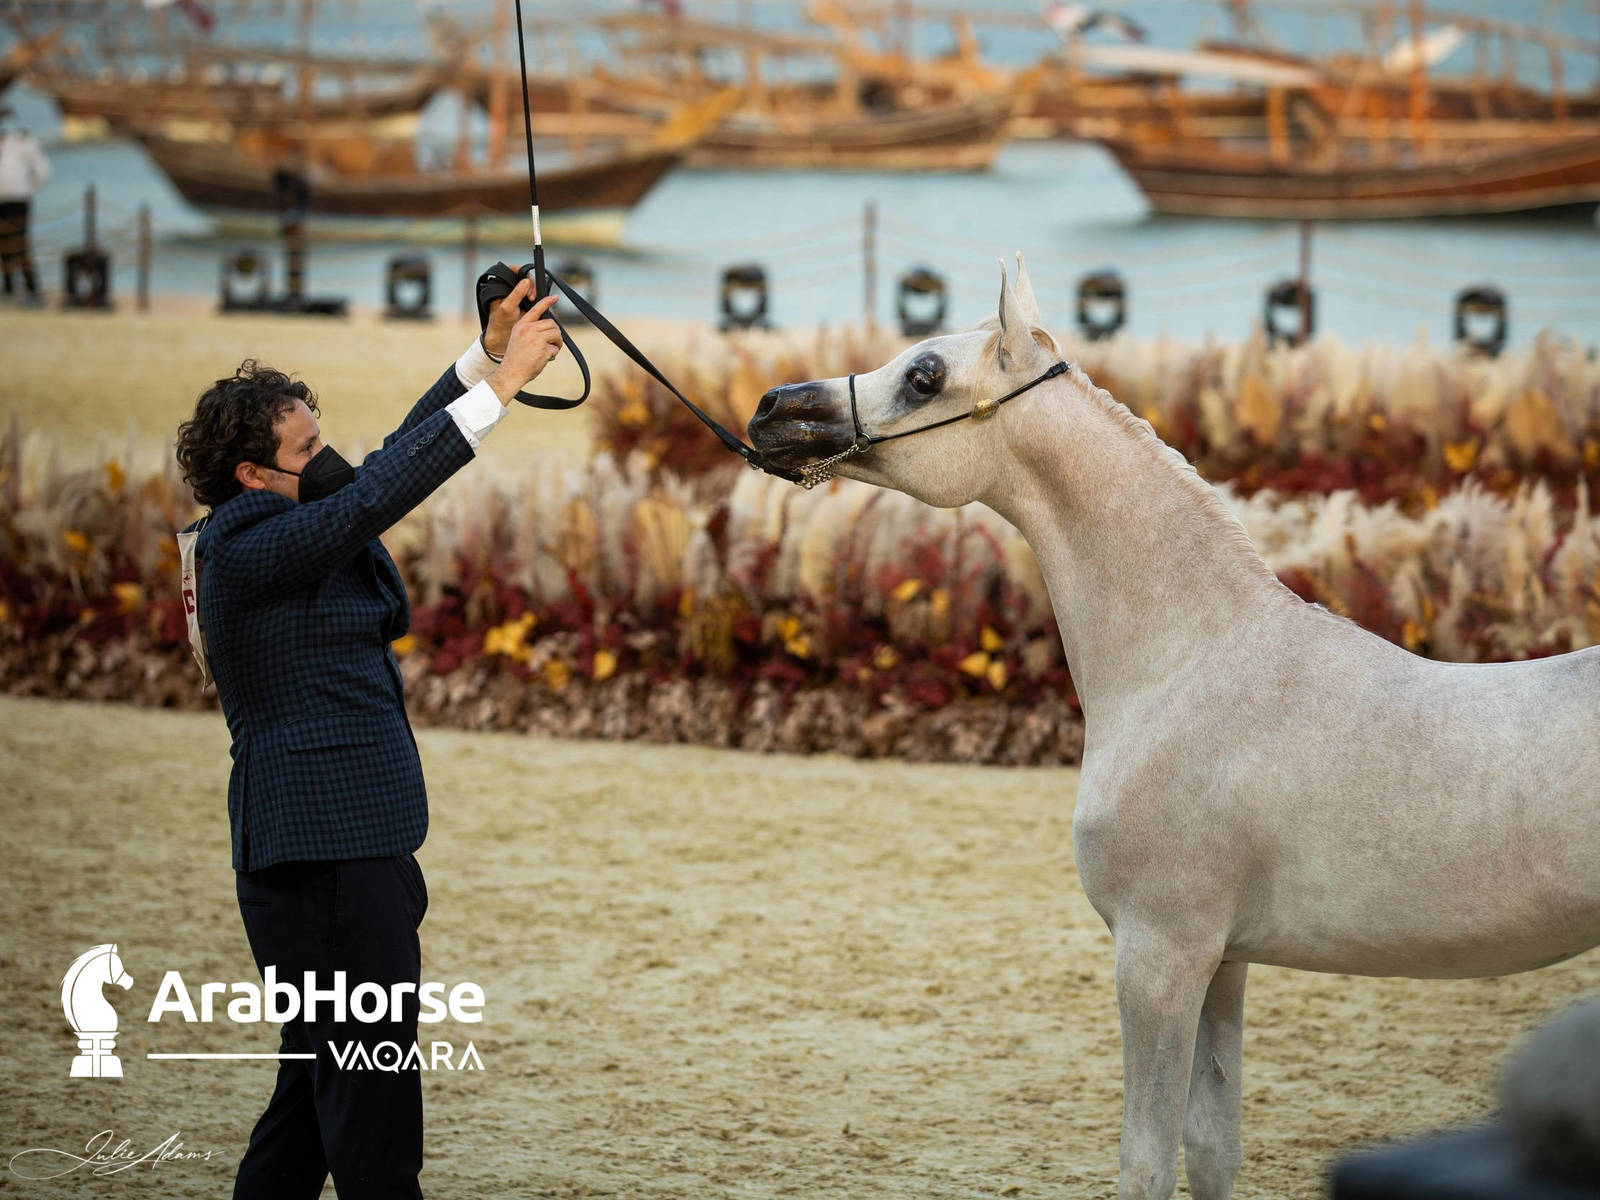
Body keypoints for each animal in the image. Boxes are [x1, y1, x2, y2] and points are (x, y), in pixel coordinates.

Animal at [745, 255, 1600, 1200]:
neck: (1190, 659)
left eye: (925, 374)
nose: (771, 409)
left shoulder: (1159, 958)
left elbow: (1149, 1159)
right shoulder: (1223, 962)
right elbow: (1213, 1145)